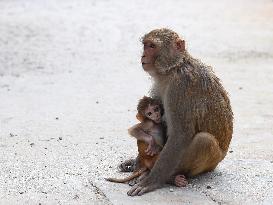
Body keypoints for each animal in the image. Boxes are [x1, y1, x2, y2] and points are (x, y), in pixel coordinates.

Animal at [123, 28, 232, 196]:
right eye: (145, 45)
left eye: (152, 46)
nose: (143, 56)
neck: (174, 68)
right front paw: (135, 161)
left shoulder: (180, 87)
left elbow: (180, 135)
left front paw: (150, 181)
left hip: (210, 162)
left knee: (204, 140)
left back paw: (168, 177)